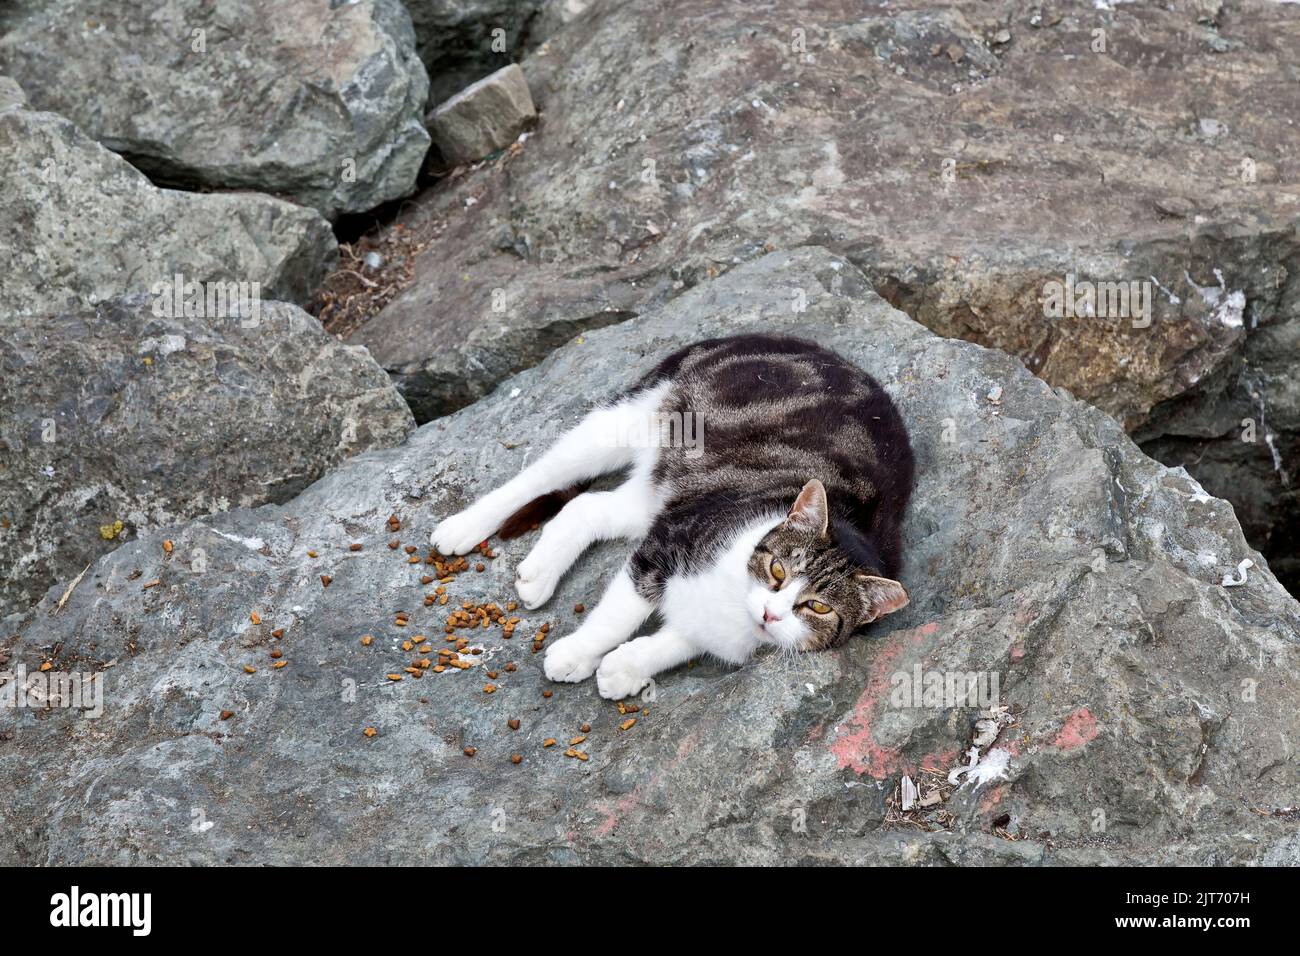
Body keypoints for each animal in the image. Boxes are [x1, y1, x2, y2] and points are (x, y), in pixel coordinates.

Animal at [428, 332, 915, 697]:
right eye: (778, 569)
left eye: (817, 606)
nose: (772, 613)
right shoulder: (667, 542)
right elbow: (617, 616)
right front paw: (576, 654)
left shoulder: (718, 616)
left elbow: (682, 640)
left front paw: (624, 668)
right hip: (627, 420)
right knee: (541, 474)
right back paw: (461, 528)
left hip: (668, 487)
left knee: (588, 507)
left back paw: (538, 574)